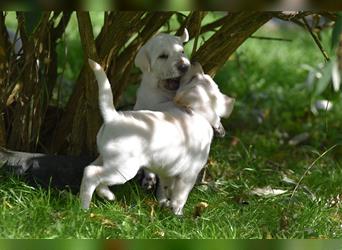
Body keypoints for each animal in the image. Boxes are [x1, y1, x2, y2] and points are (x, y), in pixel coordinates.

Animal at [81, 59, 234, 215]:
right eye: (195, 77)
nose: (194, 62)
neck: (196, 112)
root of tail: (114, 117)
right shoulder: (188, 175)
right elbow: (180, 196)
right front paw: (177, 213)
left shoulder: (168, 171)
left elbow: (165, 189)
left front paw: (164, 204)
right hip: (123, 168)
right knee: (91, 174)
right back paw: (84, 208)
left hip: (107, 159)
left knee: (92, 169)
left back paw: (106, 194)